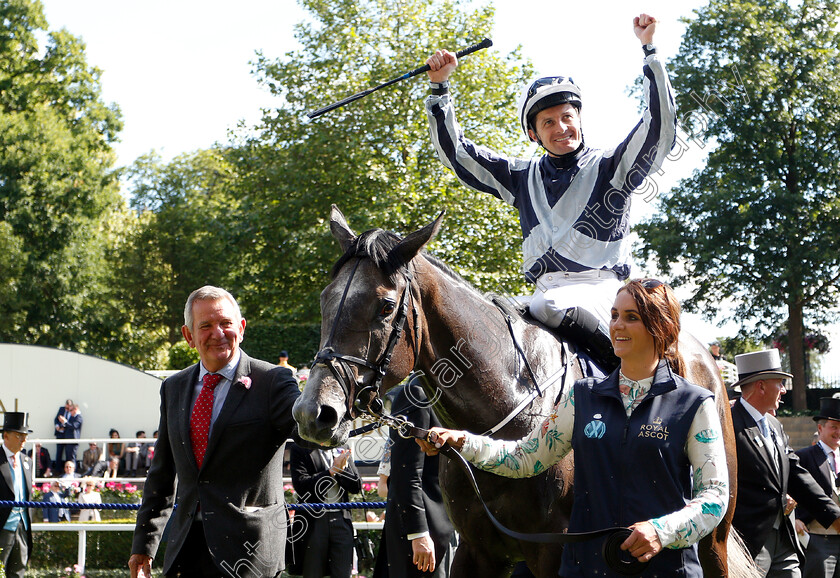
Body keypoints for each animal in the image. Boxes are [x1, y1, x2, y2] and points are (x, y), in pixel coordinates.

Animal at [294, 205, 740, 572]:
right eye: (325, 300)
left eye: (385, 307)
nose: (313, 413)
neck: (509, 405)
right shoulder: (478, 552)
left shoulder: (552, 551)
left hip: (713, 534)